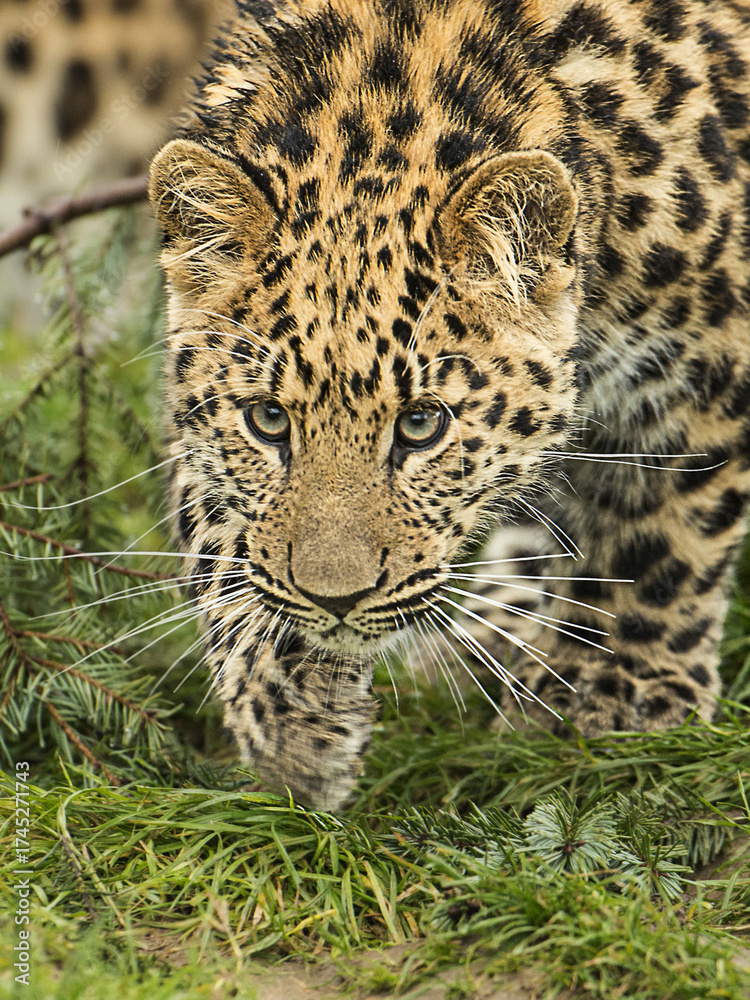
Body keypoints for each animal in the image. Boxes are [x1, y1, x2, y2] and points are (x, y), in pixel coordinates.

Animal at [148, 0, 750, 812]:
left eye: (421, 425)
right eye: (268, 421)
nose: (336, 602)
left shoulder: (708, 367)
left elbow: (659, 533)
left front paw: (616, 694)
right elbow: (222, 532)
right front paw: (290, 707)